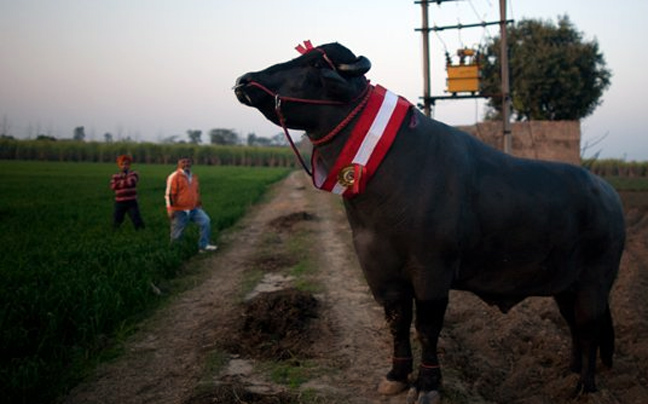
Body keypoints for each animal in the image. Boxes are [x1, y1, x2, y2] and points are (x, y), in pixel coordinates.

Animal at [235, 41, 624, 400]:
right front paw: (395, 375)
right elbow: (396, 321)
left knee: (589, 329)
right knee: (574, 328)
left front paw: (427, 383)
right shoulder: (379, 269)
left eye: (315, 64)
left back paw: (585, 386)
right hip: (565, 287)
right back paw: (569, 374)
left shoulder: (431, 270)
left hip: (595, 282)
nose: (244, 80)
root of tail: (610, 194)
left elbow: (427, 327)